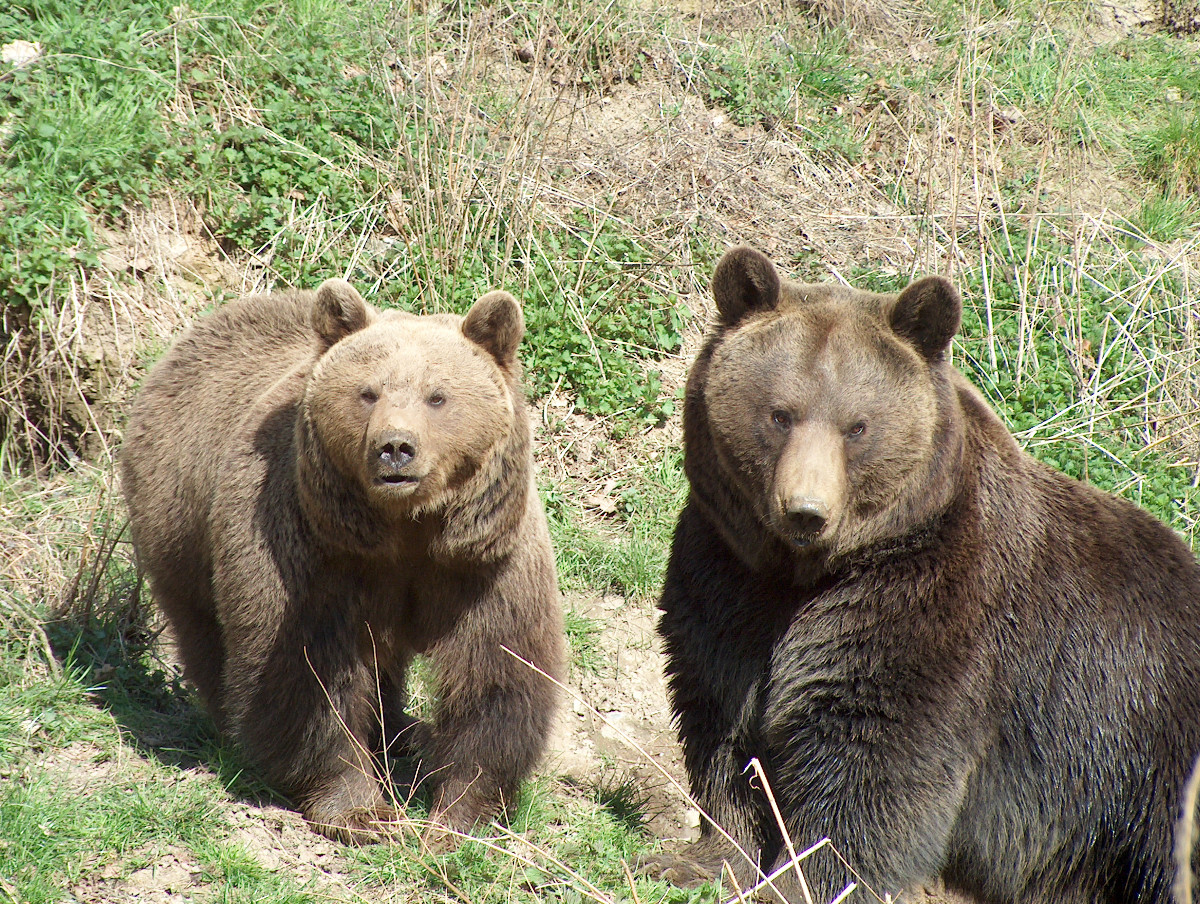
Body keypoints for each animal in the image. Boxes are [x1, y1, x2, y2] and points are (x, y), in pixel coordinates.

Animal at [121, 278, 561, 845]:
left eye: (437, 396)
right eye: (367, 391)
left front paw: (458, 815)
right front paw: (362, 811)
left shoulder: (482, 560)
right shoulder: (313, 550)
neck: (406, 528)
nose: (395, 448)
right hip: (179, 518)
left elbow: (496, 673)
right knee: (204, 630)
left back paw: (402, 732)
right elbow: (308, 674)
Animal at [657, 244, 1200, 902]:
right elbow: (723, 726)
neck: (809, 571)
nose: (806, 510)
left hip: (1146, 744)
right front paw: (705, 858)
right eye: (780, 415)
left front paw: (813, 876)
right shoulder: (727, 574)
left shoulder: (931, 604)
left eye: (857, 426)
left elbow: (873, 763)